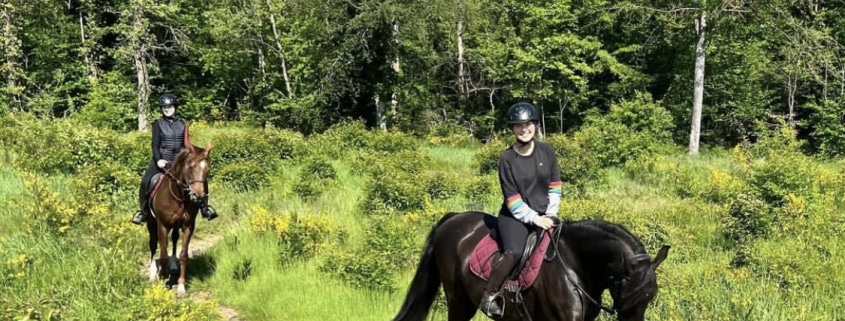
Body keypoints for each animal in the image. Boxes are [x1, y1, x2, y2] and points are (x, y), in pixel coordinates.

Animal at [144, 123, 213, 296]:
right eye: (190, 166)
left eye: (207, 169)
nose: (198, 196)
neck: (178, 196)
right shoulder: (162, 225)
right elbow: (163, 254)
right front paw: (162, 281)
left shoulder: (188, 226)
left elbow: (183, 254)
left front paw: (181, 286)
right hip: (150, 222)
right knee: (153, 244)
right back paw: (152, 272)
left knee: (175, 239)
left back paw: (173, 265)